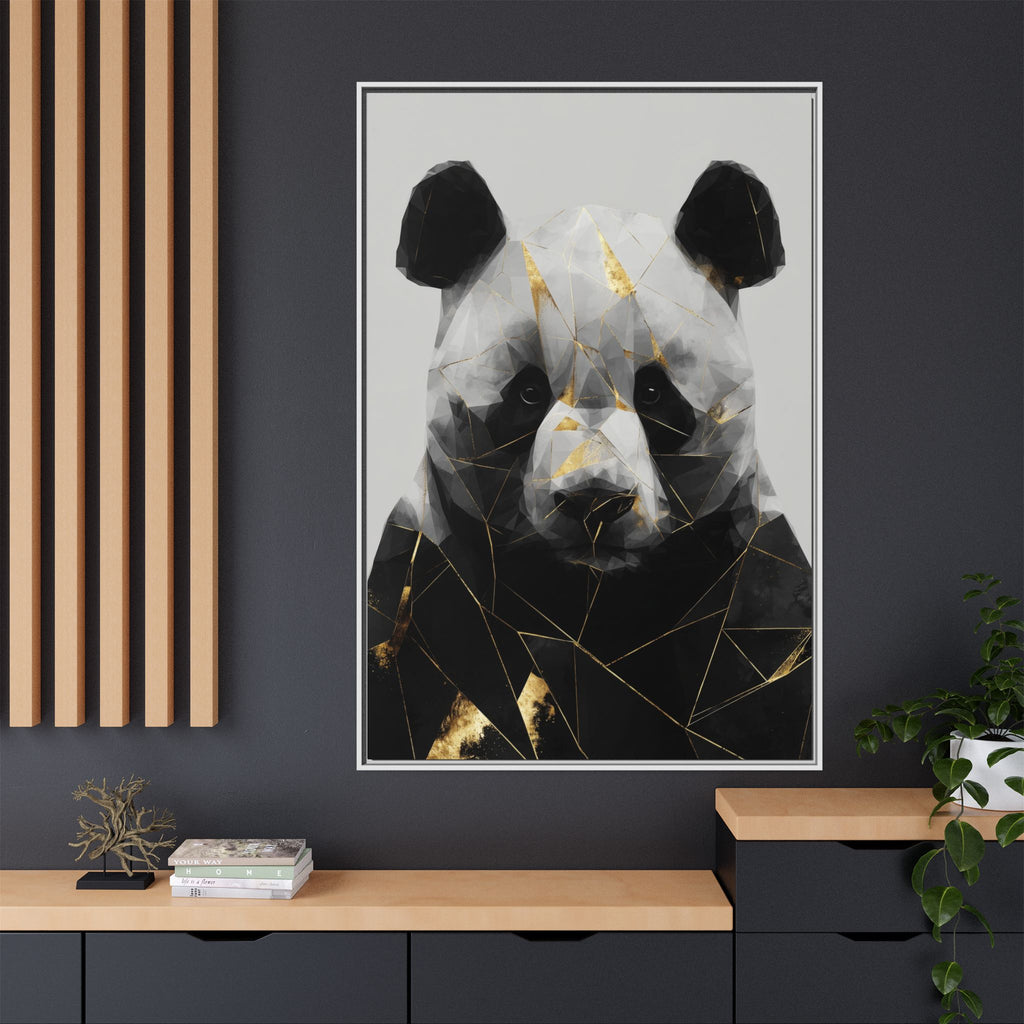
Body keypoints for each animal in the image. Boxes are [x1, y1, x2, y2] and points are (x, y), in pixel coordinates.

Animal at [365, 160, 812, 762]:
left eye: (654, 393)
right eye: (528, 393)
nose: (594, 501)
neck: (590, 606)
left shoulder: (752, 590)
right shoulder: (426, 586)